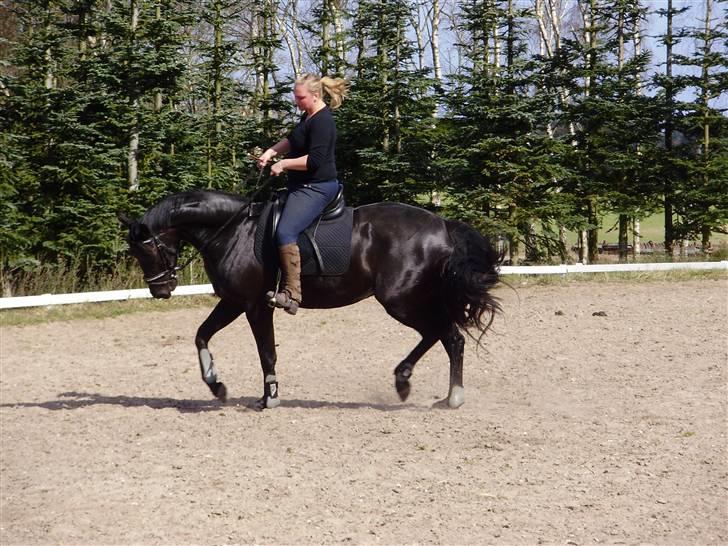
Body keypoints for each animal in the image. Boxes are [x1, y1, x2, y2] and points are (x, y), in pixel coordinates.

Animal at [123, 189, 500, 406]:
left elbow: (266, 353)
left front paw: (270, 397)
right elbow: (202, 335)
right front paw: (216, 386)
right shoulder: (232, 301)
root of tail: (442, 224)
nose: (160, 290)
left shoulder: (255, 305)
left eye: (145, 250)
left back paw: (434, 390)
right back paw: (427, 388)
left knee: (445, 334)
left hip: (402, 300)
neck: (232, 231)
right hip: (414, 298)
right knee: (444, 335)